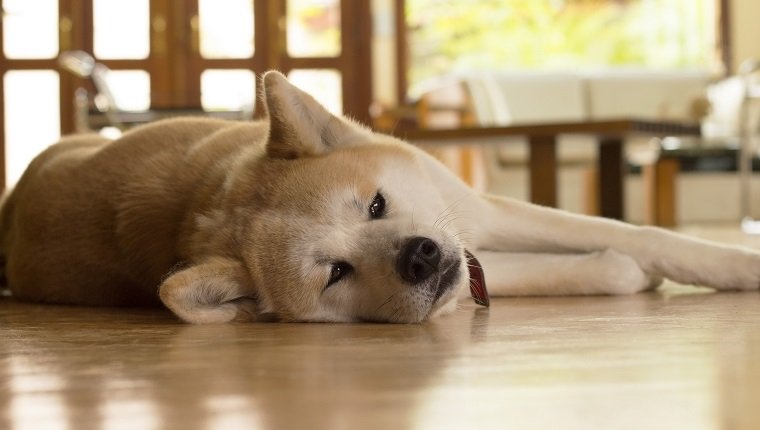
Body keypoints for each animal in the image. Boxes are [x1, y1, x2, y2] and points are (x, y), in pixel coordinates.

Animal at [1, 71, 760, 322]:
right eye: (337, 273)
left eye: (375, 206)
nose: (419, 256)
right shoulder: (477, 253)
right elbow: (585, 263)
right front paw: (618, 272)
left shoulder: (477, 214)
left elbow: (642, 233)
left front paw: (736, 265)